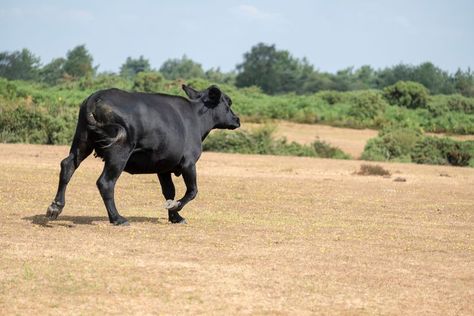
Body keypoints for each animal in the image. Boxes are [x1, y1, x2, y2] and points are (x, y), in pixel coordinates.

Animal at [45, 85, 239, 226]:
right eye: (228, 103)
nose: (237, 119)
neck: (196, 118)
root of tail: (97, 96)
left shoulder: (164, 166)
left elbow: (169, 191)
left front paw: (175, 217)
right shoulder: (188, 163)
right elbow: (192, 191)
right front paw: (176, 207)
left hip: (82, 141)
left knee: (68, 166)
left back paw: (55, 207)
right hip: (119, 153)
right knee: (105, 183)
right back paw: (117, 218)